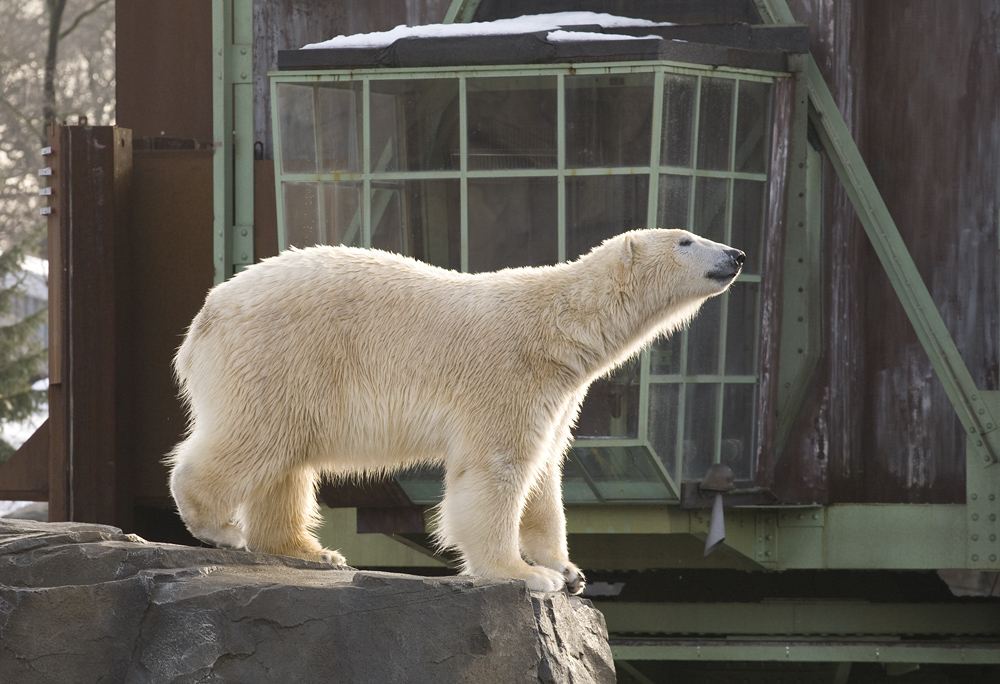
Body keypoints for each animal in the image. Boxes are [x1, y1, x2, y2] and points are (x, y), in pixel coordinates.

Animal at [168, 228, 744, 592]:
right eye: (686, 240)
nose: (736, 254)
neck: (559, 327)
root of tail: (206, 315)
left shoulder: (559, 394)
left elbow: (545, 473)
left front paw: (568, 570)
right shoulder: (509, 375)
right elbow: (497, 469)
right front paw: (523, 574)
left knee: (286, 457)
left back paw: (311, 552)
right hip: (279, 355)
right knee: (255, 437)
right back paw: (219, 527)